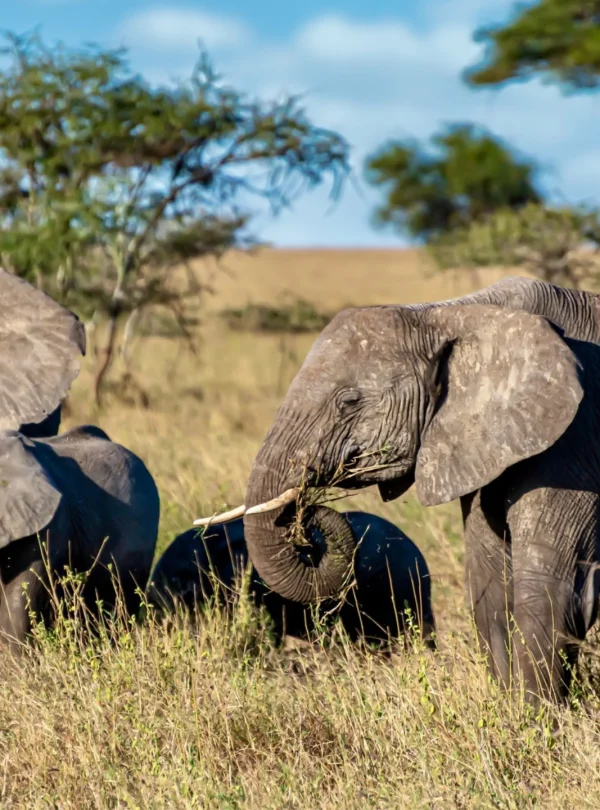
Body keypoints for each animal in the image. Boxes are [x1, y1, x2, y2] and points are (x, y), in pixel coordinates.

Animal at [195, 276, 600, 701]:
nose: (306, 519)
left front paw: (534, 714)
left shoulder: (573, 440)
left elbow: (546, 589)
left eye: (349, 401)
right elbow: (489, 585)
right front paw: (508, 708)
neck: (452, 314)